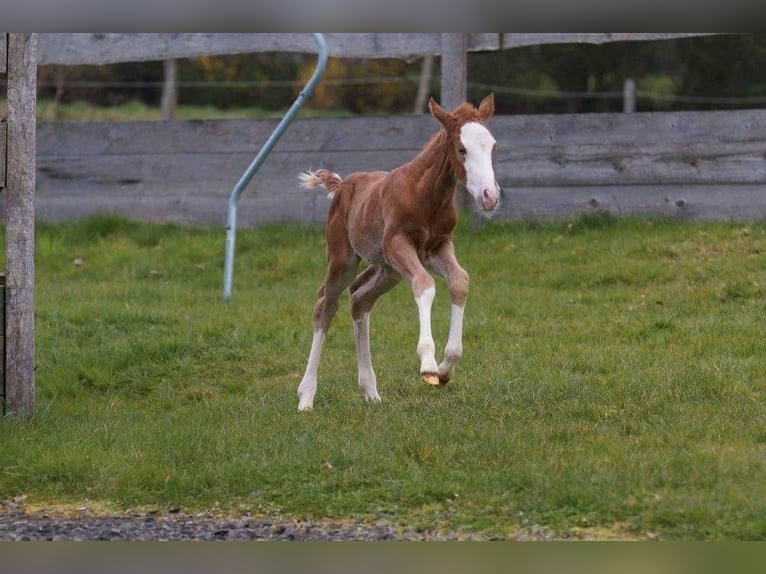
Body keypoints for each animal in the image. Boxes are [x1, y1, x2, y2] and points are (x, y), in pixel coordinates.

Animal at [296, 93, 500, 414]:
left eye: (492, 146)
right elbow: (425, 284)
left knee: (359, 299)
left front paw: (446, 368)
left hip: (387, 270)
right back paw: (306, 397)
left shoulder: (438, 246)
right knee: (325, 305)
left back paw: (370, 391)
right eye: (461, 149)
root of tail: (341, 185)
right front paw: (428, 365)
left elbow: (460, 280)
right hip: (344, 259)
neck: (426, 194)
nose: (490, 197)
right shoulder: (399, 243)